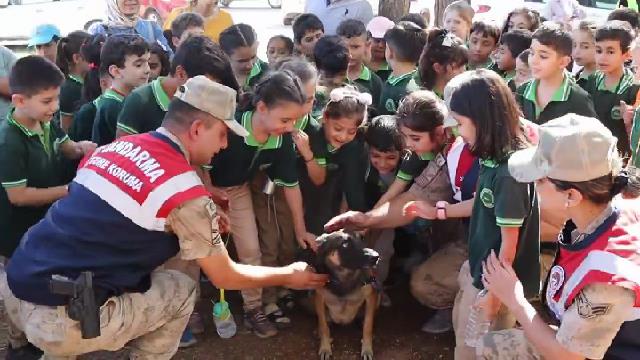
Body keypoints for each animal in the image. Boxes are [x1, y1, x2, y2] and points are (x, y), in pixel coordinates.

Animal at [302, 231, 378, 360]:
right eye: (345, 244)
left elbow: (368, 325)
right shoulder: (319, 298)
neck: (345, 278)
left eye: (362, 238)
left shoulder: (370, 297)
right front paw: (325, 347)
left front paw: (367, 349)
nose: (376, 256)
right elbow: (324, 326)